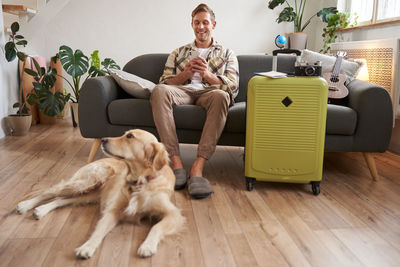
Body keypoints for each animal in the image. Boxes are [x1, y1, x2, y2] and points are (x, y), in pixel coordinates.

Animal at [14, 130, 185, 260]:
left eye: (130, 136)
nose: (103, 139)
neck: (140, 179)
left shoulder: (173, 214)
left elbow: (156, 227)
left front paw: (147, 245)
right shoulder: (113, 211)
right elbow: (99, 231)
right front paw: (87, 247)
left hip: (88, 195)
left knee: (59, 199)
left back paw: (41, 210)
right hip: (86, 181)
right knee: (50, 191)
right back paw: (25, 205)